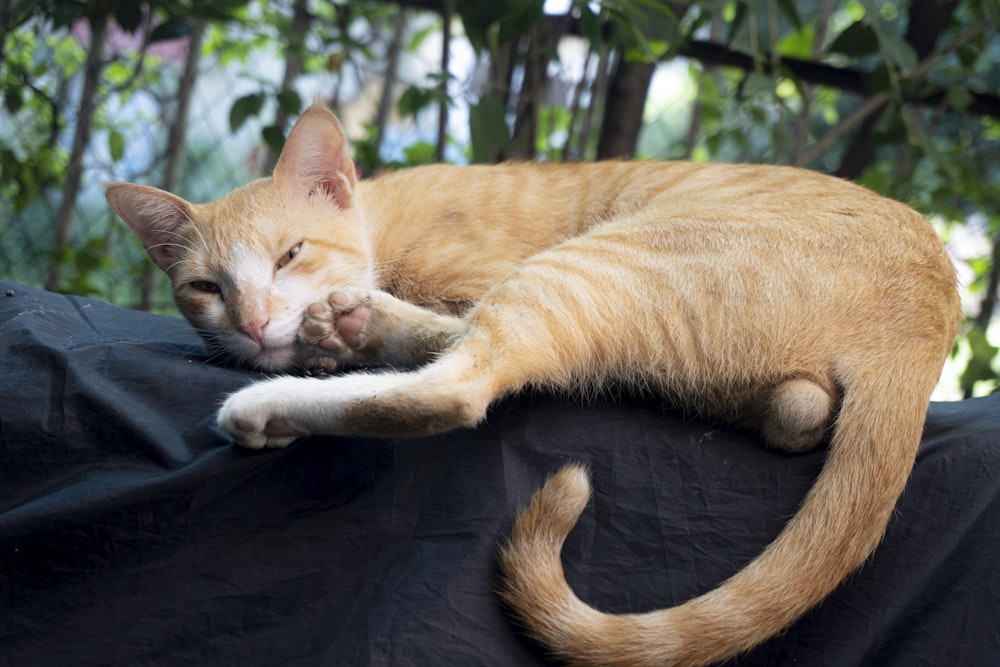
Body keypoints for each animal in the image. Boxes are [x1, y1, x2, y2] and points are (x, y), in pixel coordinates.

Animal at [107, 104, 960, 667]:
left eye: (290, 253)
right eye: (206, 288)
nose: (254, 325)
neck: (381, 223)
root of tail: (928, 313)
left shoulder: (476, 279)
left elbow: (453, 333)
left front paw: (330, 328)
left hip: (592, 260)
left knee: (458, 385)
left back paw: (299, 375)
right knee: (793, 410)